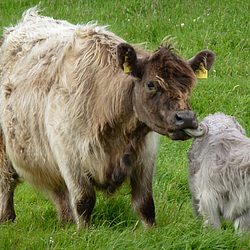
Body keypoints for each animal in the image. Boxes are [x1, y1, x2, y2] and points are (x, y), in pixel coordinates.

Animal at [0, 8, 215, 229]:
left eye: (190, 84)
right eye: (151, 84)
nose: (186, 119)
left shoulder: (145, 157)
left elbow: (145, 204)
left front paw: (151, 231)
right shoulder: (69, 156)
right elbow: (84, 200)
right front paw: (84, 232)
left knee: (58, 190)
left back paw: (66, 221)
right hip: (5, 147)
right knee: (6, 182)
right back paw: (7, 218)